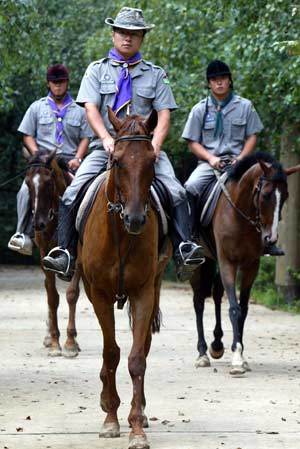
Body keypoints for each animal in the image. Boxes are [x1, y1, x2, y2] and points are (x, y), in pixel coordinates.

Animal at [25, 150, 80, 356]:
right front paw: (55, 342)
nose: (38, 223)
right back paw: (49, 337)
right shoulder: (44, 257)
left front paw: (71, 343)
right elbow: (52, 297)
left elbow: (72, 294)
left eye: (48, 182)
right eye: (27, 183)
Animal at [77, 108, 171, 448]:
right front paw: (110, 418)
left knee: (143, 346)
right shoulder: (99, 294)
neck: (119, 232)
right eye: (116, 161)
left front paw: (136, 427)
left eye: (151, 160)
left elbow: (136, 358)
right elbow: (111, 352)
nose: (135, 218)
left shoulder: (144, 291)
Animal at [191, 154, 300, 374]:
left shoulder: (251, 266)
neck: (239, 214)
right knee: (198, 302)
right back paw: (202, 353)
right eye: (266, 195)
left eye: (285, 196)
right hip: (201, 263)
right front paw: (236, 359)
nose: (271, 239)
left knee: (216, 295)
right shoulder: (227, 262)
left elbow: (243, 308)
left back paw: (217, 345)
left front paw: (239, 353)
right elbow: (234, 309)